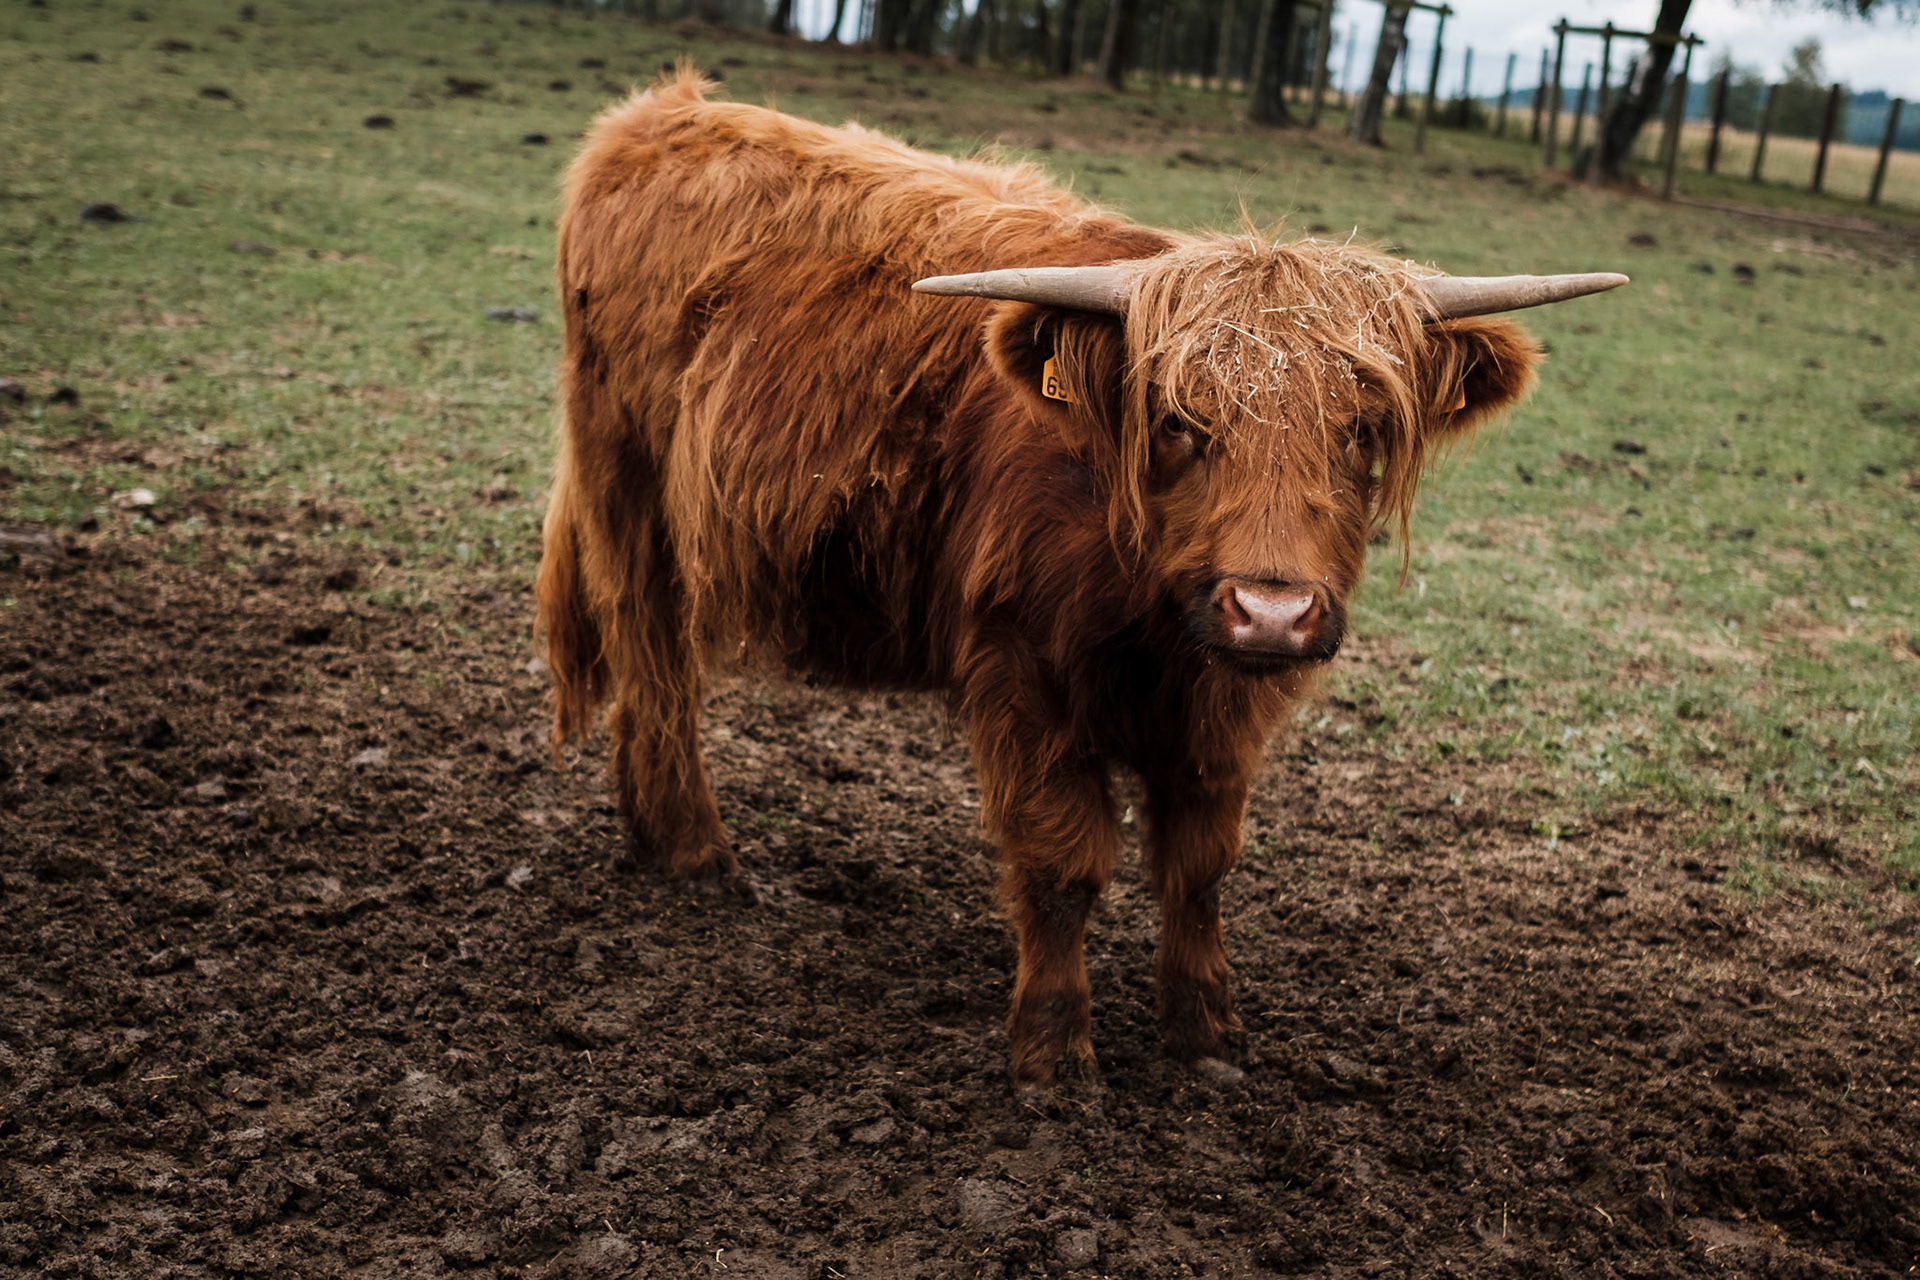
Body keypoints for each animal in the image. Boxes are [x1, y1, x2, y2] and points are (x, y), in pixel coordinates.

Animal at [537, 70, 1624, 1091]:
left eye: (1361, 430)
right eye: (1180, 422)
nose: (1273, 609)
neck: (1153, 617)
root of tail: (659, 114)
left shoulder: (1225, 708)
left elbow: (1199, 865)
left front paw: (1206, 1032)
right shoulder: (1021, 669)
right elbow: (1063, 863)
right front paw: (1054, 1056)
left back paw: (650, 827)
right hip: (626, 482)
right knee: (652, 654)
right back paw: (696, 851)